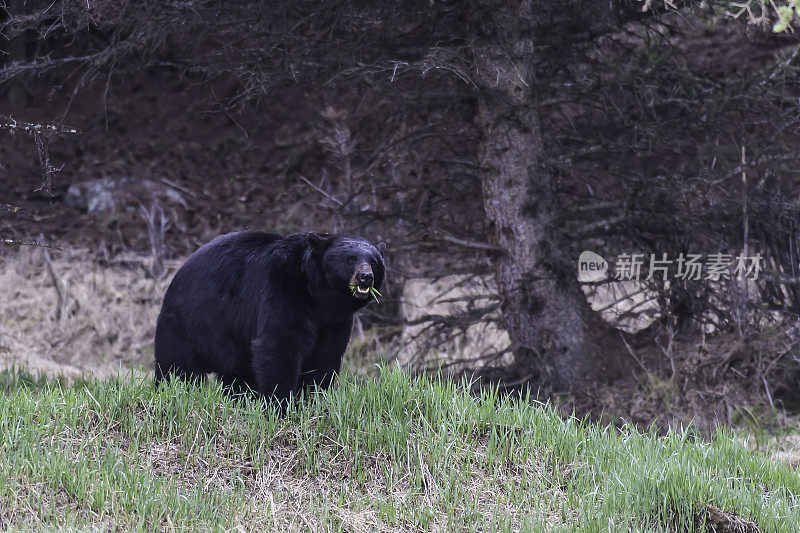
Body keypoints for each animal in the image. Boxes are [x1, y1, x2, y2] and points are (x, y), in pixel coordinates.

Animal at [155, 231, 386, 402]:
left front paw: (314, 397)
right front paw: (280, 402)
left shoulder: (336, 322)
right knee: (176, 366)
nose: (365, 277)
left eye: (374, 262)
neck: (321, 297)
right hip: (190, 322)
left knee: (237, 374)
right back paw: (170, 391)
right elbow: (279, 345)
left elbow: (326, 356)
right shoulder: (285, 290)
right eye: (350, 259)